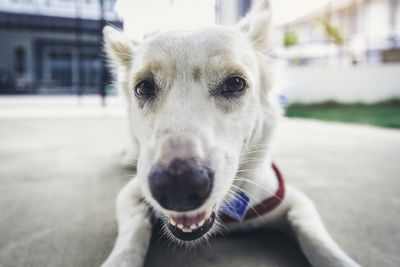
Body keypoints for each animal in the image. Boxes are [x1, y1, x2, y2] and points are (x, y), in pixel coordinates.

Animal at [101, 1, 360, 266]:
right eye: (143, 87)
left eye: (235, 83)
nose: (178, 188)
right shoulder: (131, 193)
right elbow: (133, 233)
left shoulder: (295, 202)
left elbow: (319, 242)